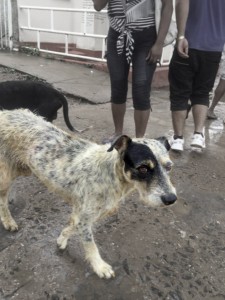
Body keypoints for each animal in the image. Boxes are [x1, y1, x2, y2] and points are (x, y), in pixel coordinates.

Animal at [0, 109, 177, 278]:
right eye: (143, 168)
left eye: (169, 167)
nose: (171, 199)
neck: (111, 173)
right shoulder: (85, 219)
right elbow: (91, 245)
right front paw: (100, 266)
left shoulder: (86, 214)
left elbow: (71, 227)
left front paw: (61, 239)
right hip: (6, 175)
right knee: (2, 199)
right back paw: (8, 221)